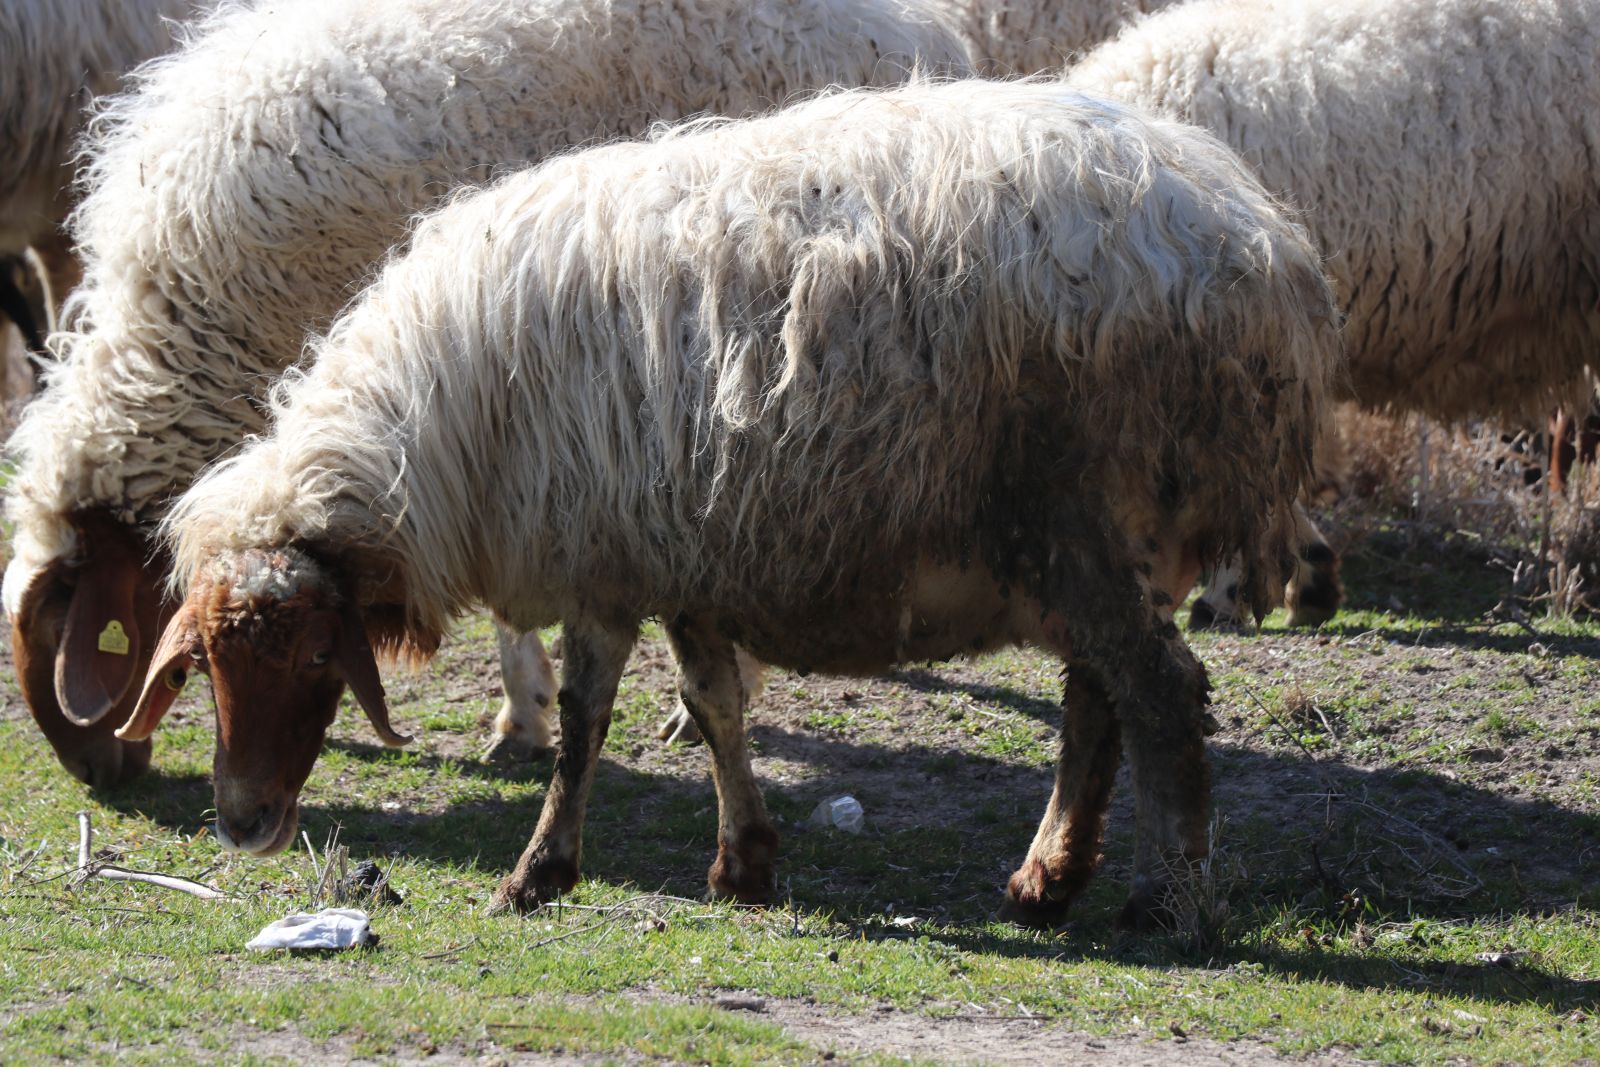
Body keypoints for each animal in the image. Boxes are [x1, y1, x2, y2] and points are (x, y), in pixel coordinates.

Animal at [124, 81, 1344, 927]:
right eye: (209, 663)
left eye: (309, 656)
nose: (240, 821)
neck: (442, 429)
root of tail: (1253, 239)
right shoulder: (682, 560)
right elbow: (713, 706)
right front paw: (744, 863)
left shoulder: (604, 561)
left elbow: (584, 725)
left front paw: (537, 871)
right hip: (1095, 538)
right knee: (1101, 700)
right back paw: (1045, 880)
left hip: (1080, 514)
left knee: (1161, 696)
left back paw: (1166, 896)